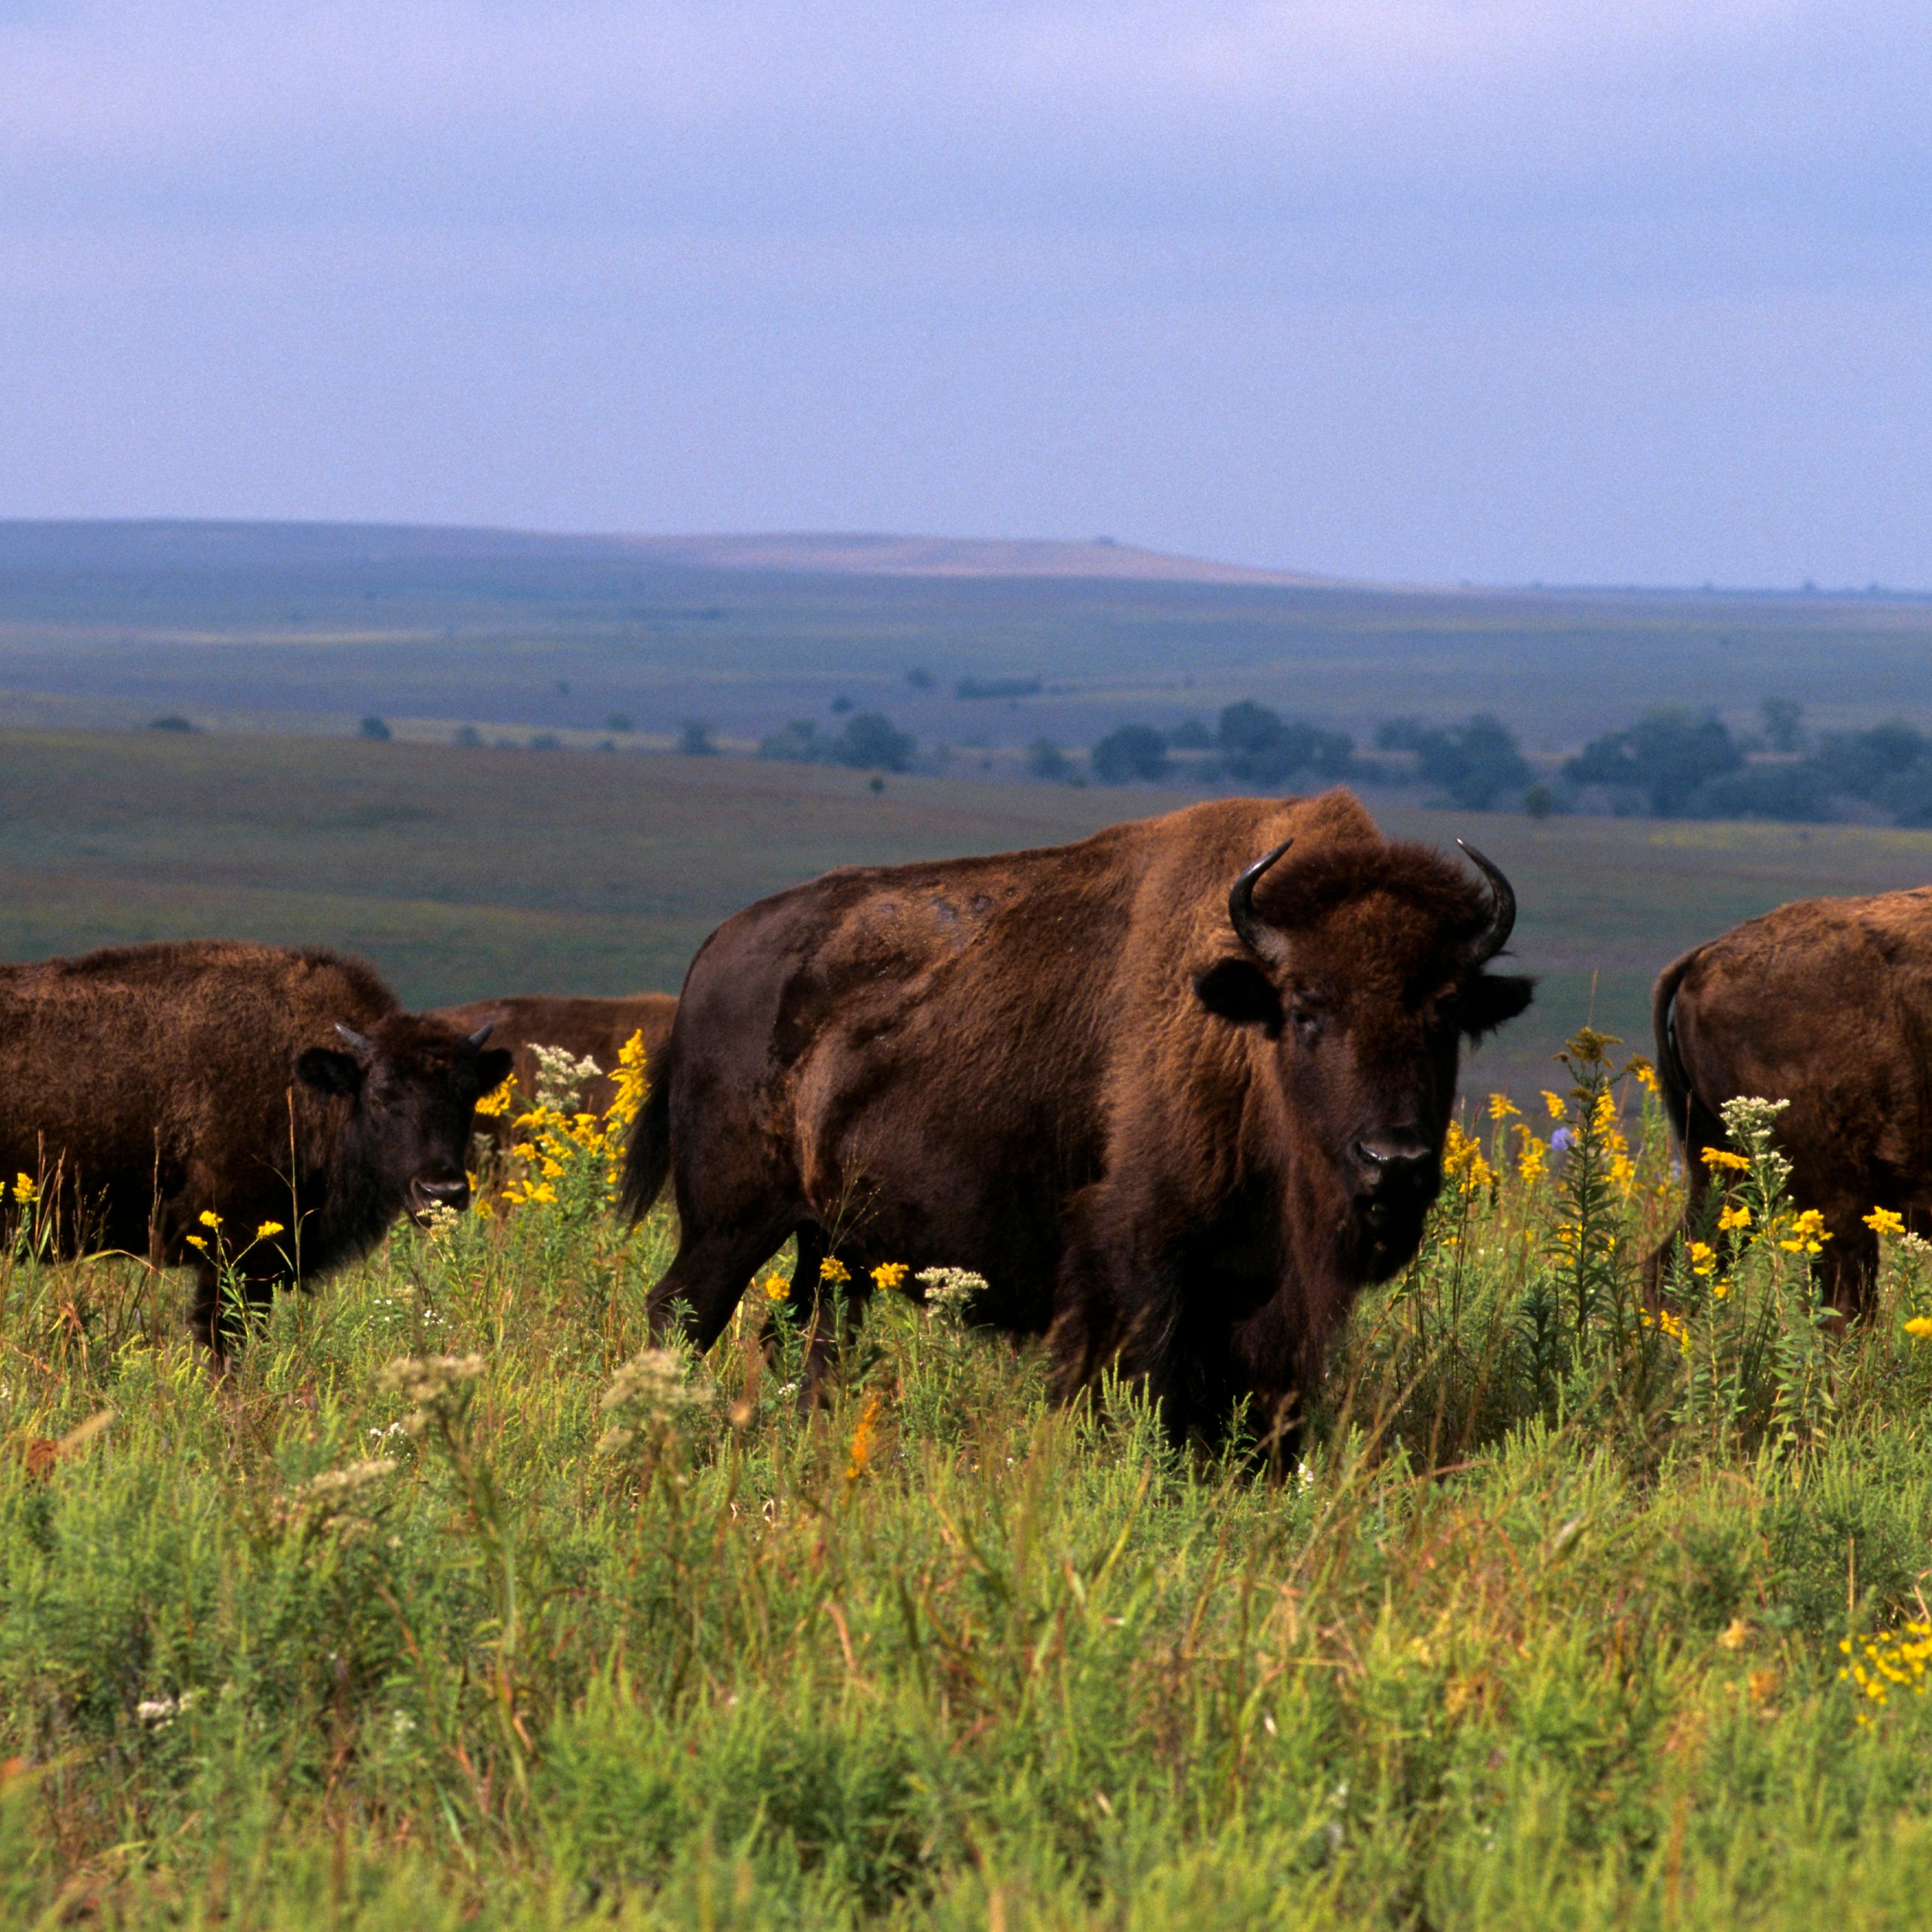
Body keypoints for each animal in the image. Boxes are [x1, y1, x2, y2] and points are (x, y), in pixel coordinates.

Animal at [0, 941, 511, 1353]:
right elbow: (224, 1334)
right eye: (382, 1096)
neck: (312, 1082)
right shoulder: (237, 1253)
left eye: (469, 1095)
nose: (443, 1191)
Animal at [623, 790, 1532, 1441]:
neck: (1244, 1029)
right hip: (730, 1224)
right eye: (1307, 1008)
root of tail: (714, 954)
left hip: (834, 1247)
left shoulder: (1269, 1305)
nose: (1394, 1163)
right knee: (677, 1312)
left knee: (814, 1344)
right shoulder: (1139, 1273)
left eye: (1447, 1012)